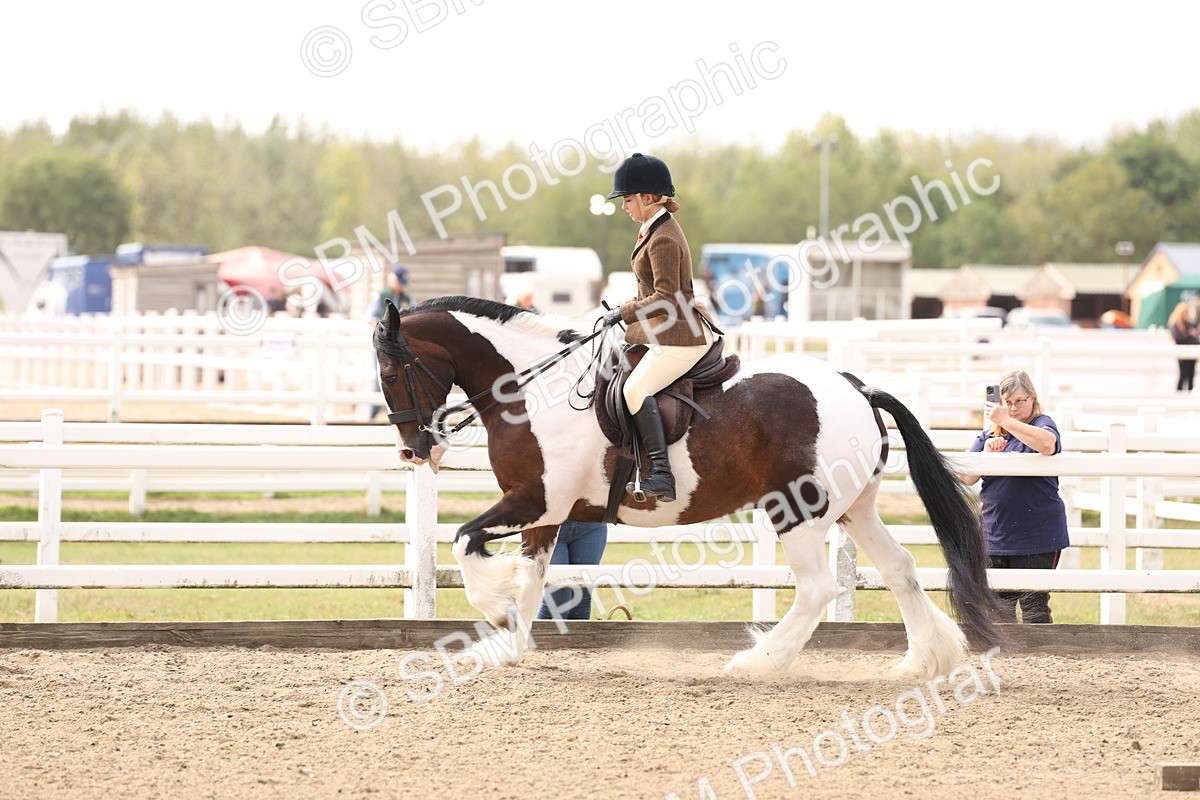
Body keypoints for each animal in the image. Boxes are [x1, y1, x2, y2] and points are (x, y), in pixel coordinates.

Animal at [373, 296, 1004, 679]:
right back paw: (926, 660)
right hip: (854, 509)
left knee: (818, 590)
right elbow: (531, 580)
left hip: (799, 510)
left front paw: (495, 607)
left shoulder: (534, 501)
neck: (531, 391)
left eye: (390, 372)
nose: (414, 451)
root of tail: (857, 385)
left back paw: (758, 662)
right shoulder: (546, 513)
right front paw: (506, 642)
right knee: (900, 567)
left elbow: (464, 542)